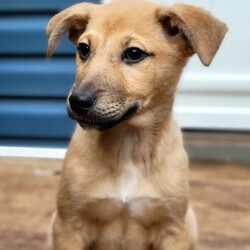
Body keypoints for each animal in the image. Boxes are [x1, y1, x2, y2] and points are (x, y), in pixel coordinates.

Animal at [46, 0, 228, 249]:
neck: (129, 148)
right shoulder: (69, 225)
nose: (77, 101)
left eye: (134, 53)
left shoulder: (173, 229)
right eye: (84, 49)